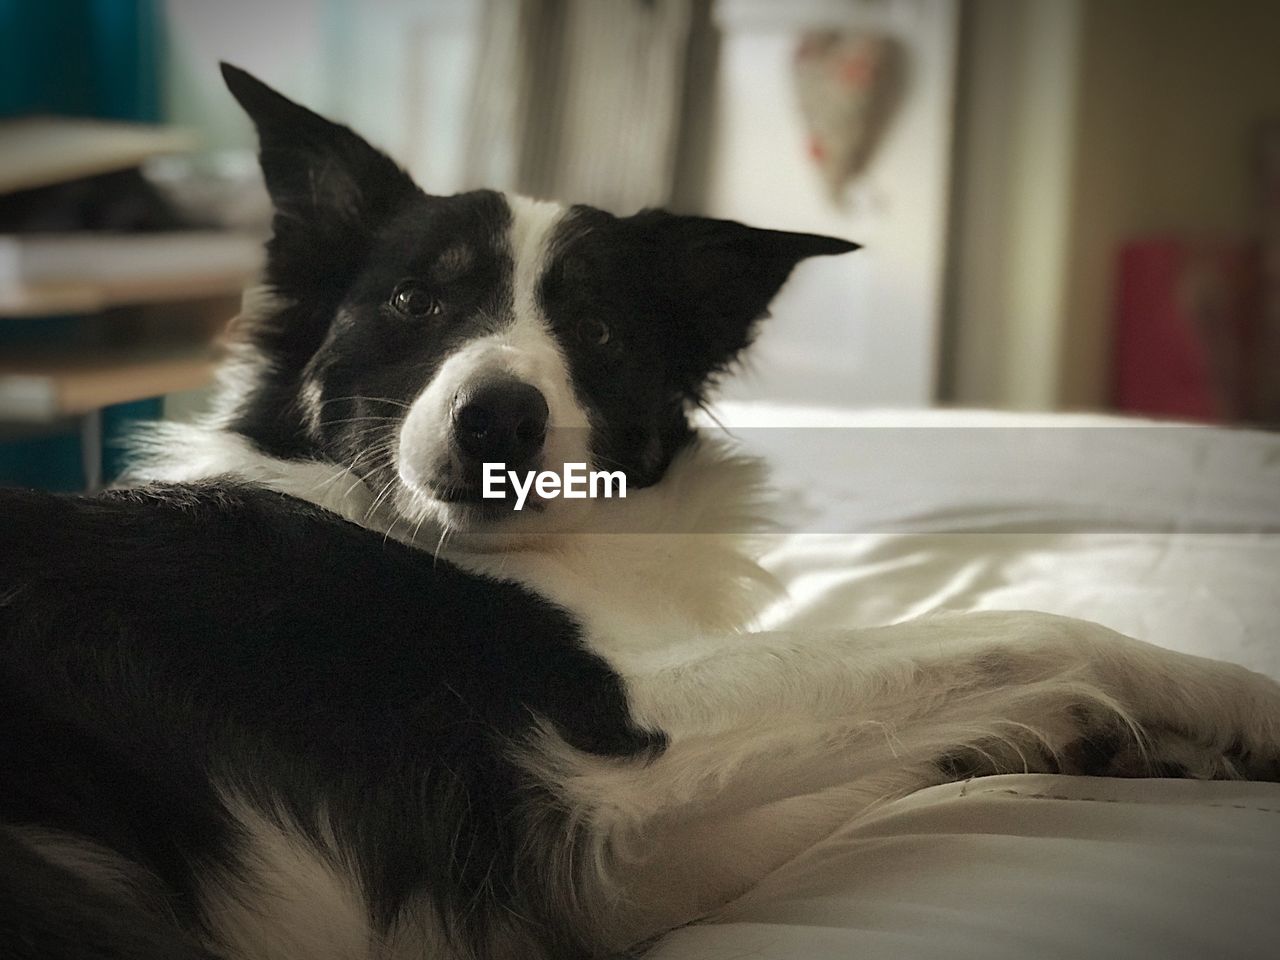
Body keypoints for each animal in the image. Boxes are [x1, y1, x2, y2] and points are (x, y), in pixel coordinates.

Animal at [2, 65, 1280, 960]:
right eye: (414, 303)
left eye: (599, 332)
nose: (499, 421)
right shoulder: (603, 735)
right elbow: (1027, 630)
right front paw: (1235, 701)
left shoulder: (625, 862)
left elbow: (895, 760)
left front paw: (1097, 740)